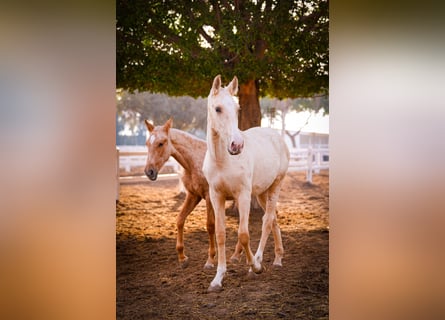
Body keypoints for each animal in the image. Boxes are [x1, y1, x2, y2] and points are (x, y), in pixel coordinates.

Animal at [144, 119, 217, 268]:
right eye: (147, 143)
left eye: (161, 143)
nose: (149, 172)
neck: (196, 161)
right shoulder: (193, 195)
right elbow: (180, 220)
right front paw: (182, 257)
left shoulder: (208, 197)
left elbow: (210, 225)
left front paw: (211, 260)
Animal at [203, 75, 290, 292]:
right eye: (218, 109)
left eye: (237, 109)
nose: (237, 145)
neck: (222, 160)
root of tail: (277, 136)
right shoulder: (216, 196)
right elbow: (220, 234)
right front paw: (217, 279)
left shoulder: (242, 195)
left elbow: (243, 234)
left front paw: (255, 267)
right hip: (261, 193)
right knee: (273, 219)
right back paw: (278, 259)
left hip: (275, 186)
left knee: (267, 221)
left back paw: (258, 262)